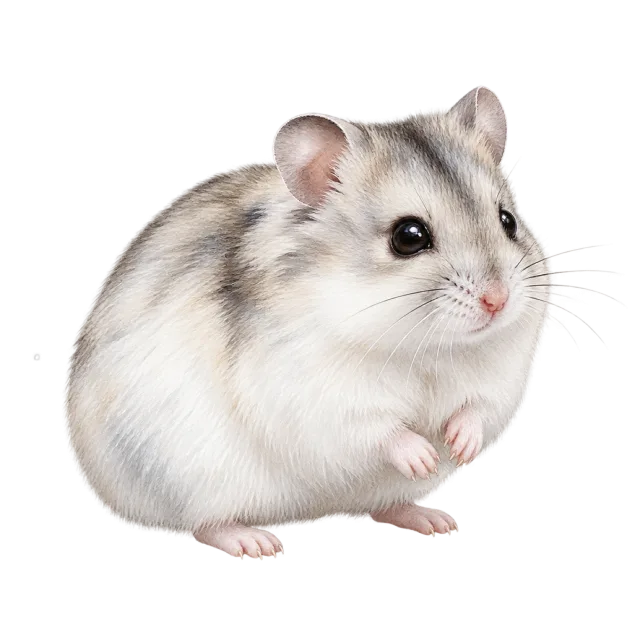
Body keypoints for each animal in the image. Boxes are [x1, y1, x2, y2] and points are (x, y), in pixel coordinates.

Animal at [62, 86, 552, 559]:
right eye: (408, 237)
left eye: (508, 221)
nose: (498, 301)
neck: (424, 344)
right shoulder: (319, 395)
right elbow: (377, 427)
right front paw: (425, 456)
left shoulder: (502, 375)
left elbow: (478, 406)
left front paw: (458, 448)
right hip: (185, 479)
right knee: (202, 522)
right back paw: (257, 543)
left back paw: (435, 520)